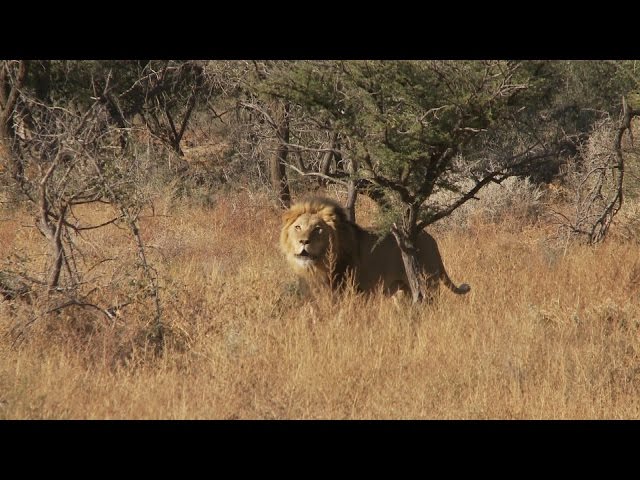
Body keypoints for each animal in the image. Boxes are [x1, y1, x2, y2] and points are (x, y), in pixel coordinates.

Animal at [280, 197, 470, 298]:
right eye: (298, 227)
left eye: (318, 229)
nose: (303, 242)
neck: (318, 265)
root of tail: (431, 239)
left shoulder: (351, 292)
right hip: (403, 289)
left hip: (428, 282)